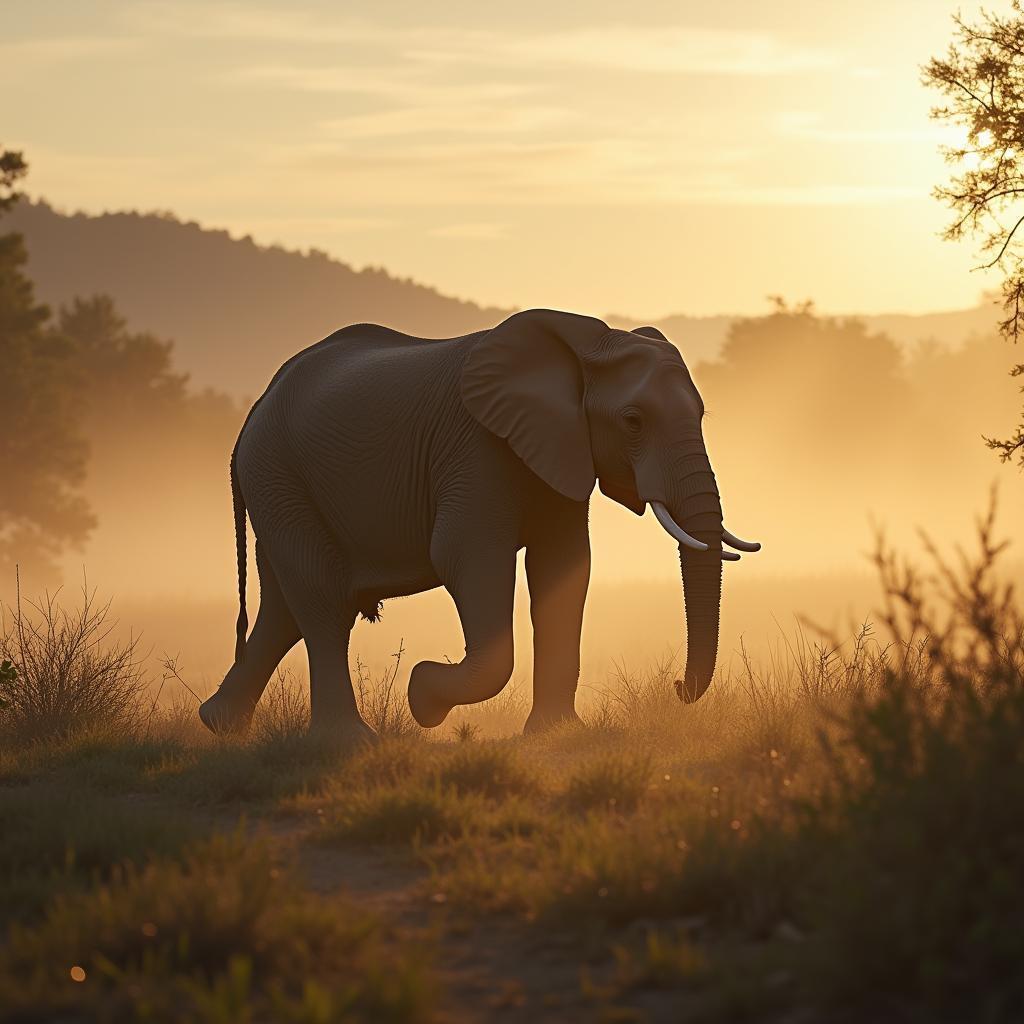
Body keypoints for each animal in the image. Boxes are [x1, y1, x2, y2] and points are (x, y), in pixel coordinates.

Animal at [198, 308, 759, 742]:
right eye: (633, 421)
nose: (677, 688)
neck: (585, 344)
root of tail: (256, 408)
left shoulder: (556, 447)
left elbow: (565, 566)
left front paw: (556, 735)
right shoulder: (476, 448)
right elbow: (466, 557)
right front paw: (422, 697)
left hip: (280, 484)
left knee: (283, 608)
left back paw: (219, 724)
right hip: (279, 471)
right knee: (320, 595)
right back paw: (349, 742)